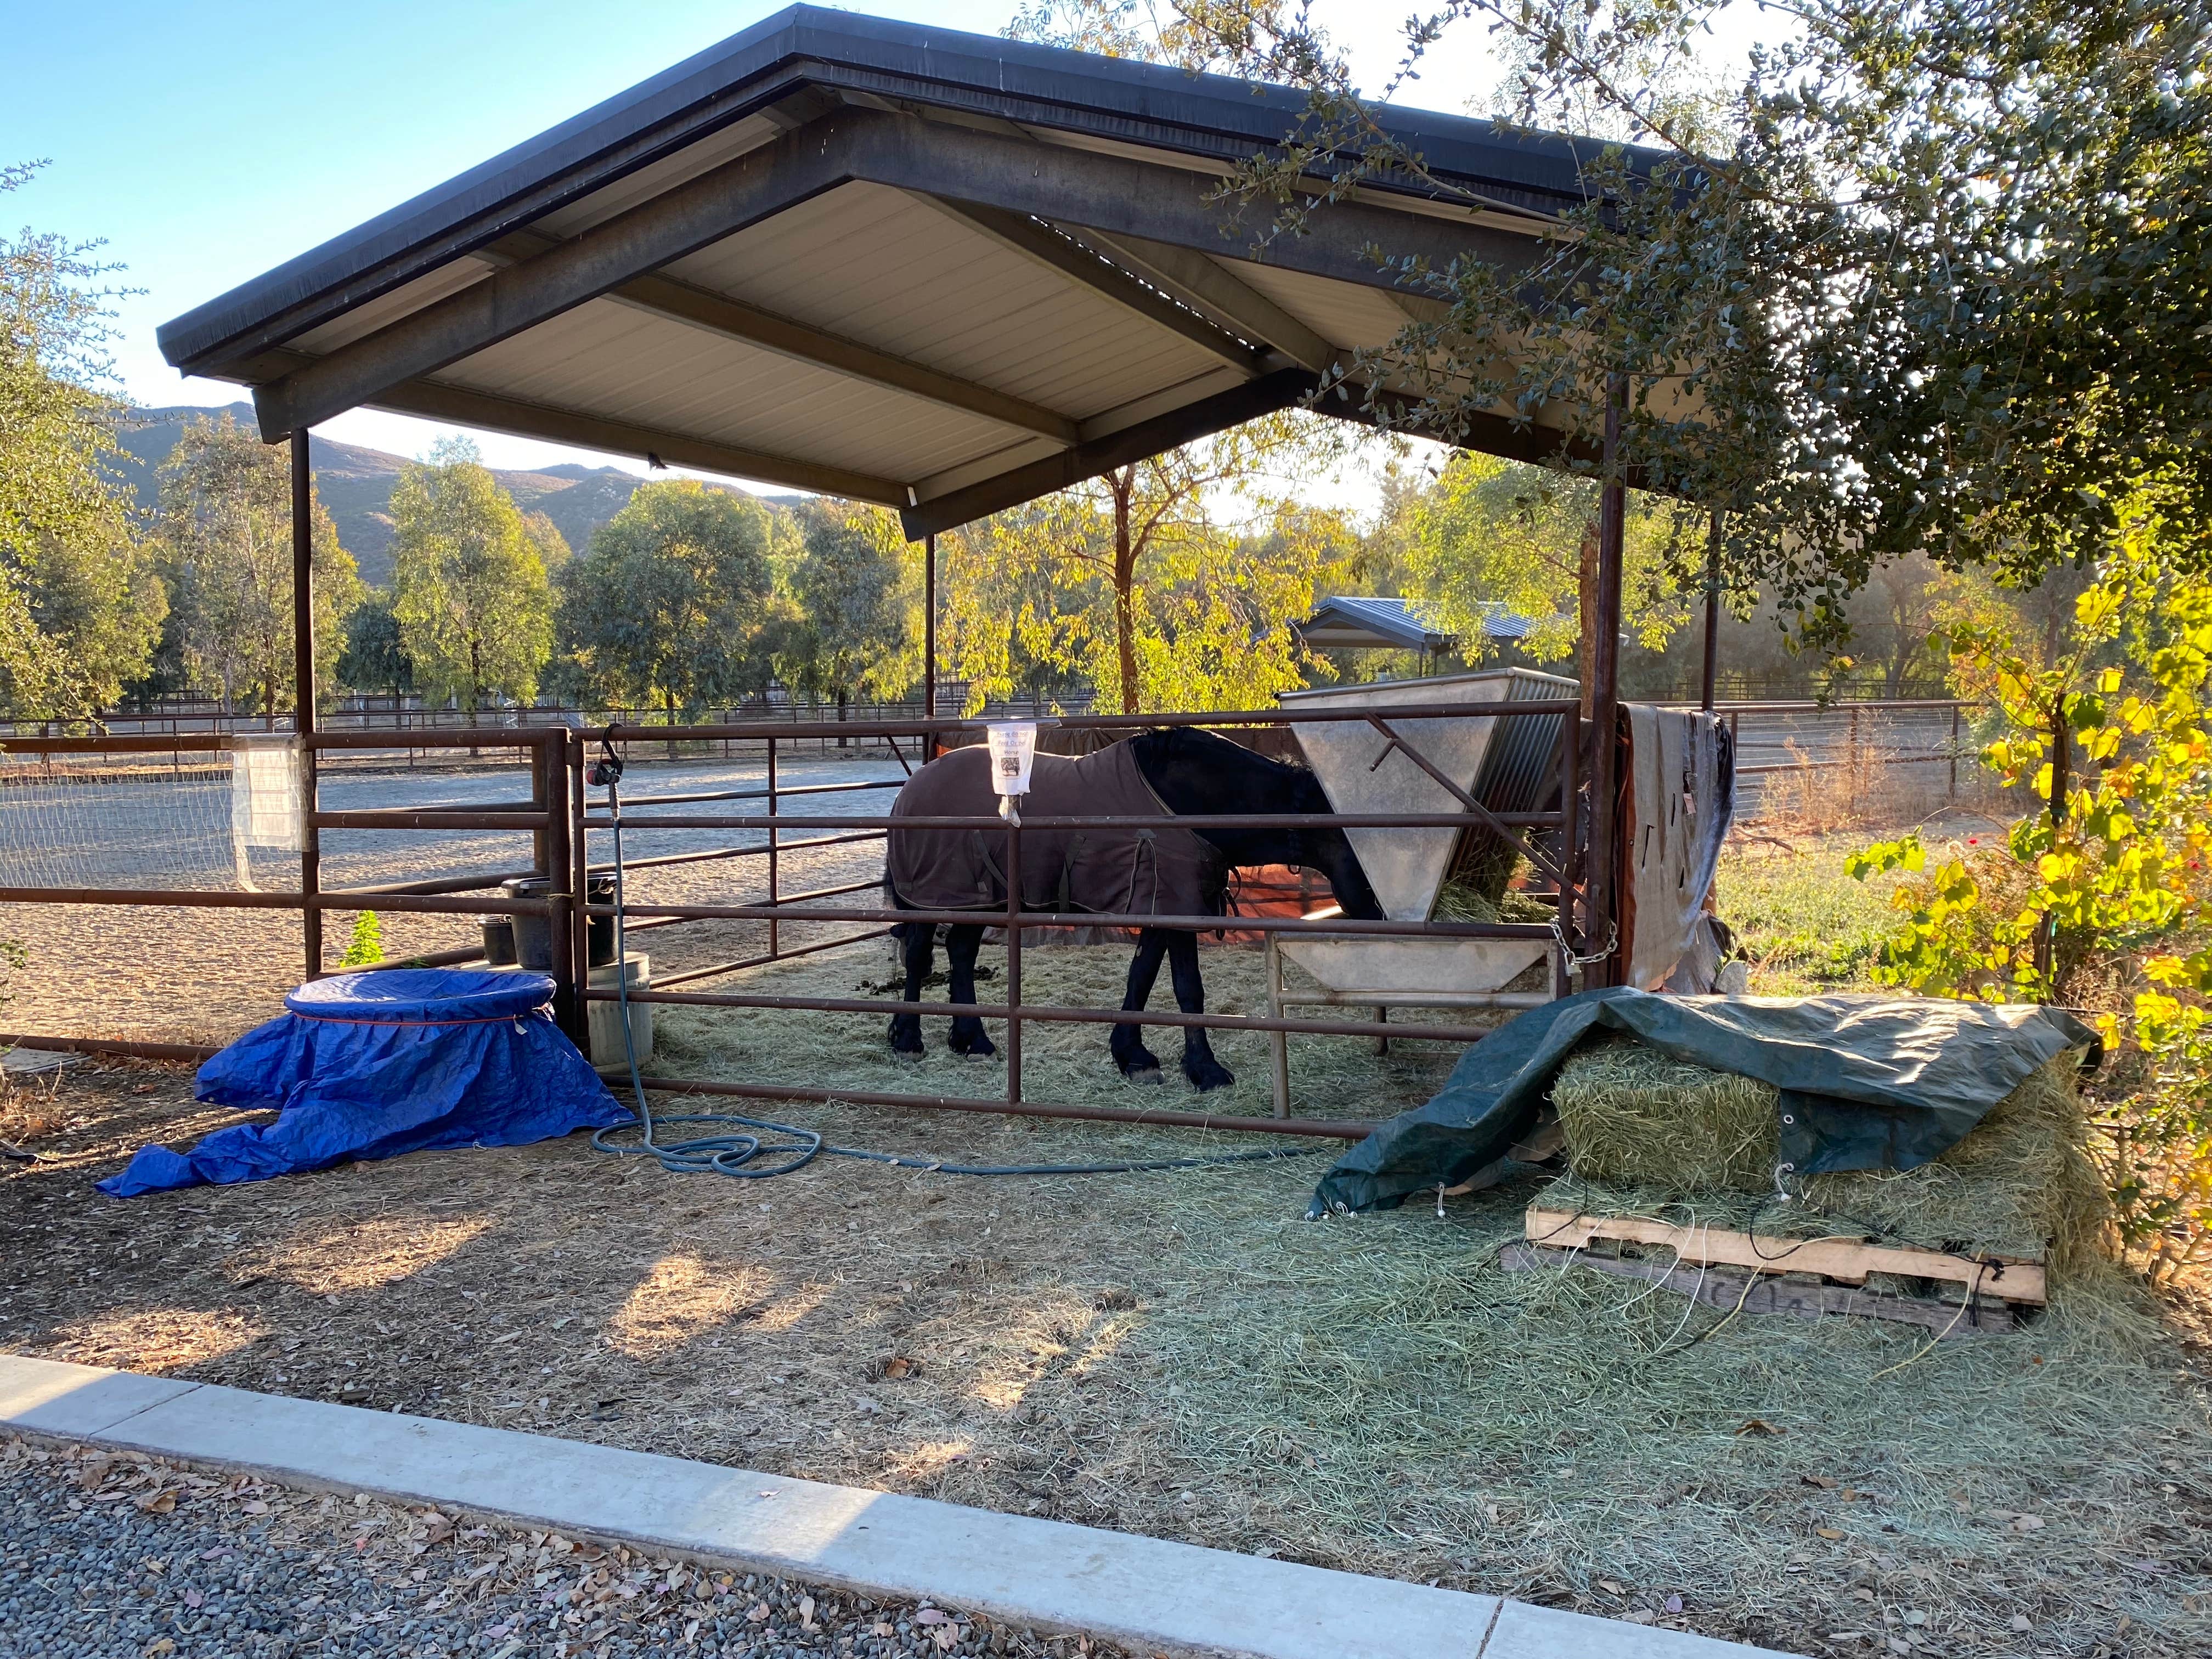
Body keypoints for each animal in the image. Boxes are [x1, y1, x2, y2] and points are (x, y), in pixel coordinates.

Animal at [882, 726, 1384, 1090]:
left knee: (961, 953)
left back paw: (973, 1041)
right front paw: (1193, 1068)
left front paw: (1145, 1057)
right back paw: (908, 1039)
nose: (1378, 911)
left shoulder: (1169, 905)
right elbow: (1177, 986)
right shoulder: (1172, 904)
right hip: (935, 897)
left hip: (980, 900)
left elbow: (1154, 979)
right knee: (920, 956)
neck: (1195, 802)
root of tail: (911, 789)